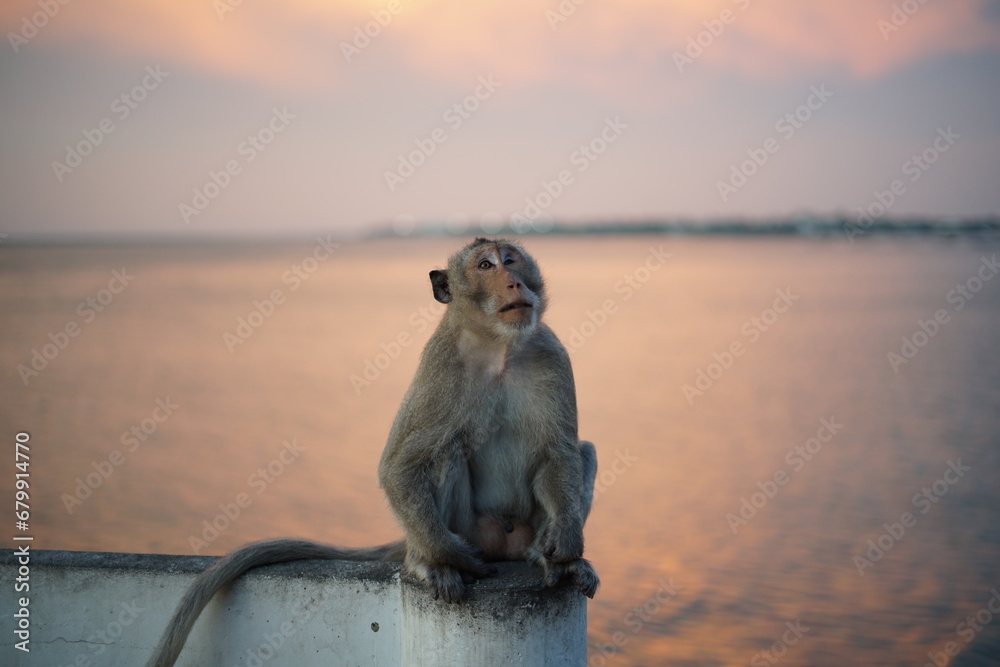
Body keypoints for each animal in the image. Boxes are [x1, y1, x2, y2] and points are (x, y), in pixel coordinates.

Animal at [146, 238, 598, 667]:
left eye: (511, 259)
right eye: (485, 265)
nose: (514, 282)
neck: (498, 348)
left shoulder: (551, 354)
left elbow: (559, 452)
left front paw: (566, 541)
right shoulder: (439, 366)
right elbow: (399, 465)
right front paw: (446, 555)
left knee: (583, 452)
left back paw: (551, 559)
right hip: (469, 529)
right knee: (442, 452)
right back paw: (429, 562)